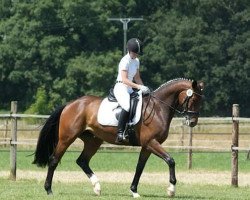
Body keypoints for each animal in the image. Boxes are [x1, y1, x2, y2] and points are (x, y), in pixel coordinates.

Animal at [33, 77, 204, 197]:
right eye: (194, 99)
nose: (193, 122)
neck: (158, 108)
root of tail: (71, 104)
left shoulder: (147, 146)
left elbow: (140, 167)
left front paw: (134, 190)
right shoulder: (151, 142)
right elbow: (170, 160)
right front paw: (171, 190)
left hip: (94, 140)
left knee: (82, 161)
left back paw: (97, 187)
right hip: (67, 138)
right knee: (54, 160)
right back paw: (49, 190)